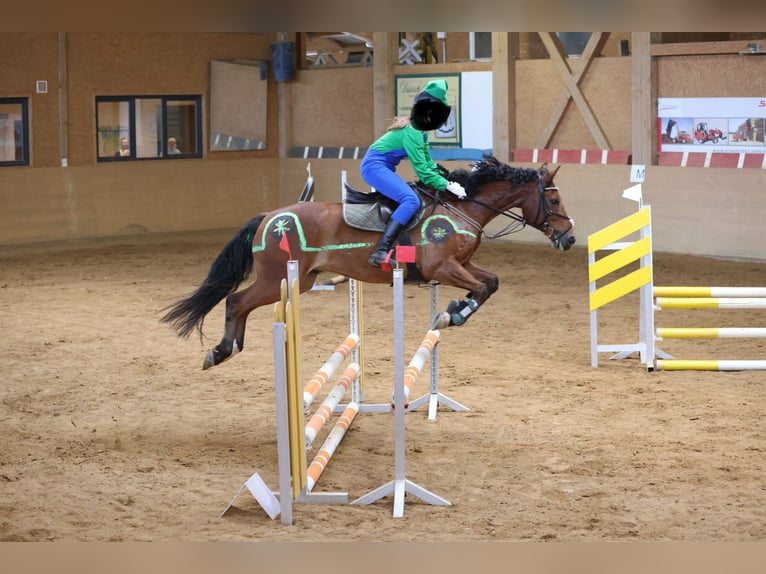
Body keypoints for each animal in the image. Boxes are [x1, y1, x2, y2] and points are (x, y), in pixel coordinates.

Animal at [162, 155, 572, 372]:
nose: (568, 238)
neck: (463, 207)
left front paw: (454, 310)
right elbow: (482, 287)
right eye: (553, 202)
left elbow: (491, 282)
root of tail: (269, 215)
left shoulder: (461, 266)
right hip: (276, 278)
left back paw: (229, 348)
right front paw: (452, 313)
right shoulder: (441, 268)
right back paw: (220, 350)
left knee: (241, 303)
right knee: (236, 300)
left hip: (300, 281)